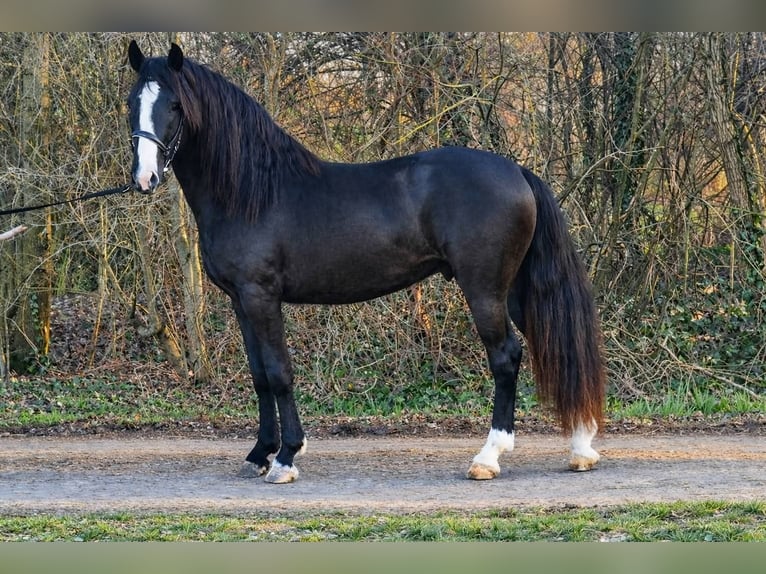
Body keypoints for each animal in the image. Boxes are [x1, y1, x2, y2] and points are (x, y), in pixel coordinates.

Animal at [126, 41, 605, 484]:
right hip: (516, 289)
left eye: (174, 104)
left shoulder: (261, 297)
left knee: (505, 356)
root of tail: (517, 171)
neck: (251, 191)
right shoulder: (240, 301)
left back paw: (488, 457)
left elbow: (279, 372)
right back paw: (581, 448)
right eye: (133, 102)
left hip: (484, 288)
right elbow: (259, 375)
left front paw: (286, 457)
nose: (145, 178)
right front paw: (260, 453)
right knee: (553, 344)